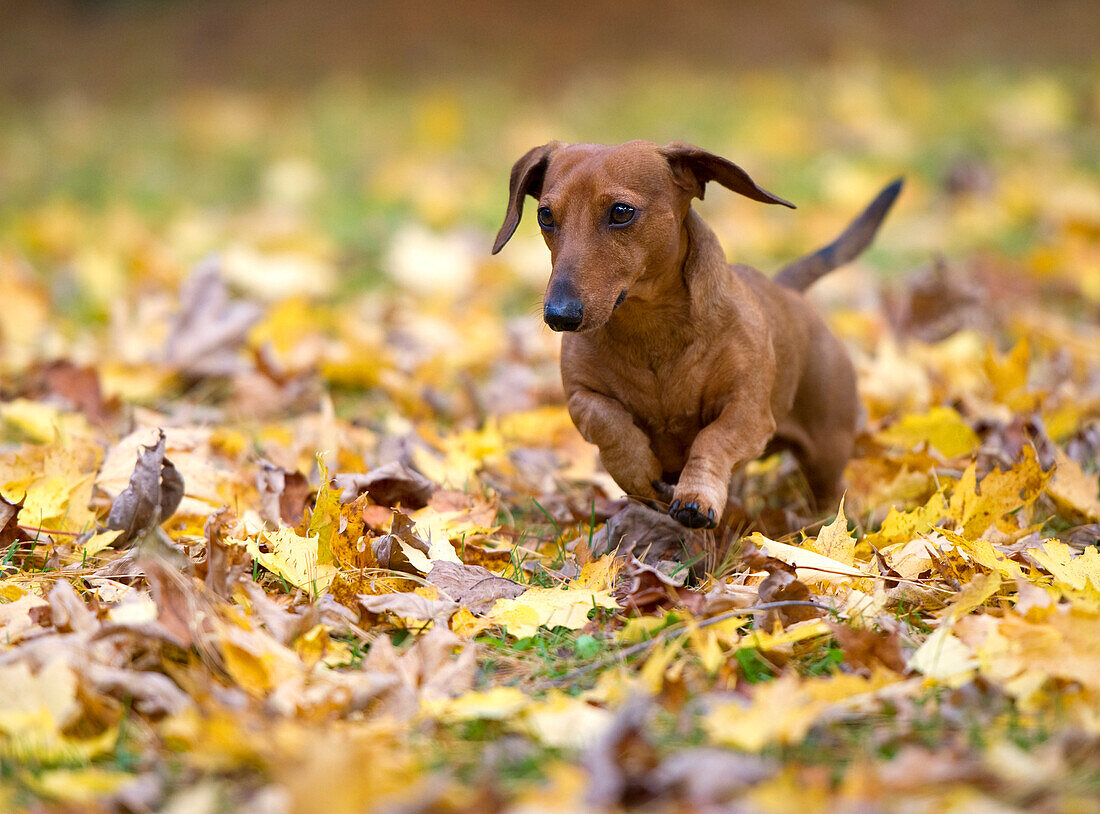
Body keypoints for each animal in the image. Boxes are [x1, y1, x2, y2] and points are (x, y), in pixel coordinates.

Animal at [495, 141, 897, 528]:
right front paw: (639, 473)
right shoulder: (581, 397)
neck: (650, 331)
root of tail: (786, 289)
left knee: (829, 491)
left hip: (828, 448)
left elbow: (713, 439)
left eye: (621, 212)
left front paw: (696, 497)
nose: (559, 315)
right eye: (545, 215)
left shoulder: (748, 411)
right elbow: (608, 422)